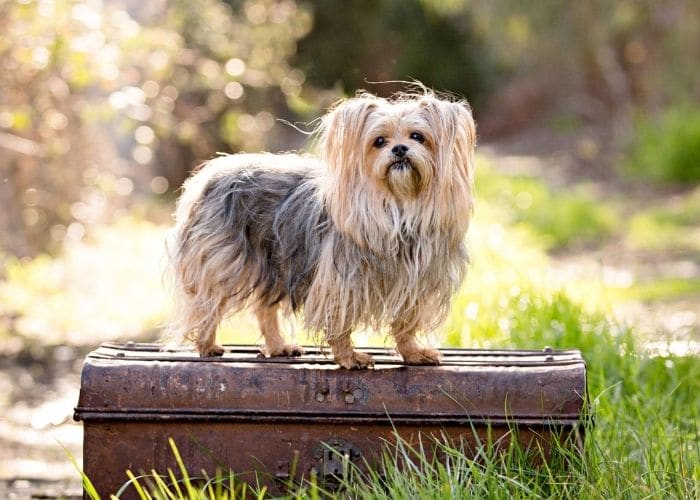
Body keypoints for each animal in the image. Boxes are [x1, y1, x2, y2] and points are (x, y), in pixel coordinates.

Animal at [168, 87, 476, 368]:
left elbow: (406, 323)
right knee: (209, 303)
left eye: (418, 136)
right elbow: (339, 321)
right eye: (379, 141)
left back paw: (277, 346)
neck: (399, 205)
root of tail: (208, 174)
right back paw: (207, 344)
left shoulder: (416, 284)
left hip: (276, 261)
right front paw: (348, 356)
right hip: (225, 261)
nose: (399, 149)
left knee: (264, 308)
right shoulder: (341, 282)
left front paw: (412, 352)